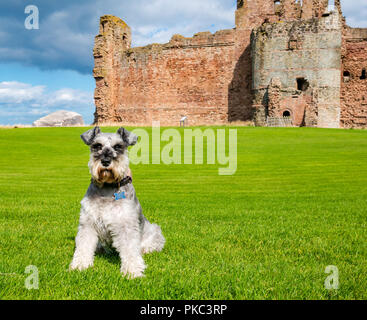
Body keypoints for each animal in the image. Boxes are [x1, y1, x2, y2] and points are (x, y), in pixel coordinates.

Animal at [69, 126, 167, 278]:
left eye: (118, 147)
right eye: (97, 146)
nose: (105, 161)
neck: (108, 188)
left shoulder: (126, 225)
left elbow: (130, 249)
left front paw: (132, 271)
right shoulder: (87, 223)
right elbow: (84, 246)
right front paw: (80, 265)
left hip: (154, 230)